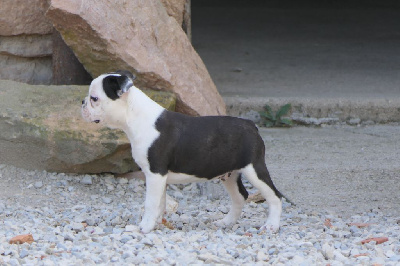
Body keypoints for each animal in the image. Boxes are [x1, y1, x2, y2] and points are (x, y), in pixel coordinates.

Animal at [81, 70, 282, 233]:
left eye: (94, 98)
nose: (82, 102)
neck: (134, 116)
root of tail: (251, 125)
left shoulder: (155, 173)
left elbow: (151, 203)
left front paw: (145, 227)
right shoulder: (159, 178)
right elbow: (160, 202)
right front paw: (157, 224)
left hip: (254, 169)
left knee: (275, 197)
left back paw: (271, 226)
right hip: (229, 174)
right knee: (241, 197)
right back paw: (226, 222)